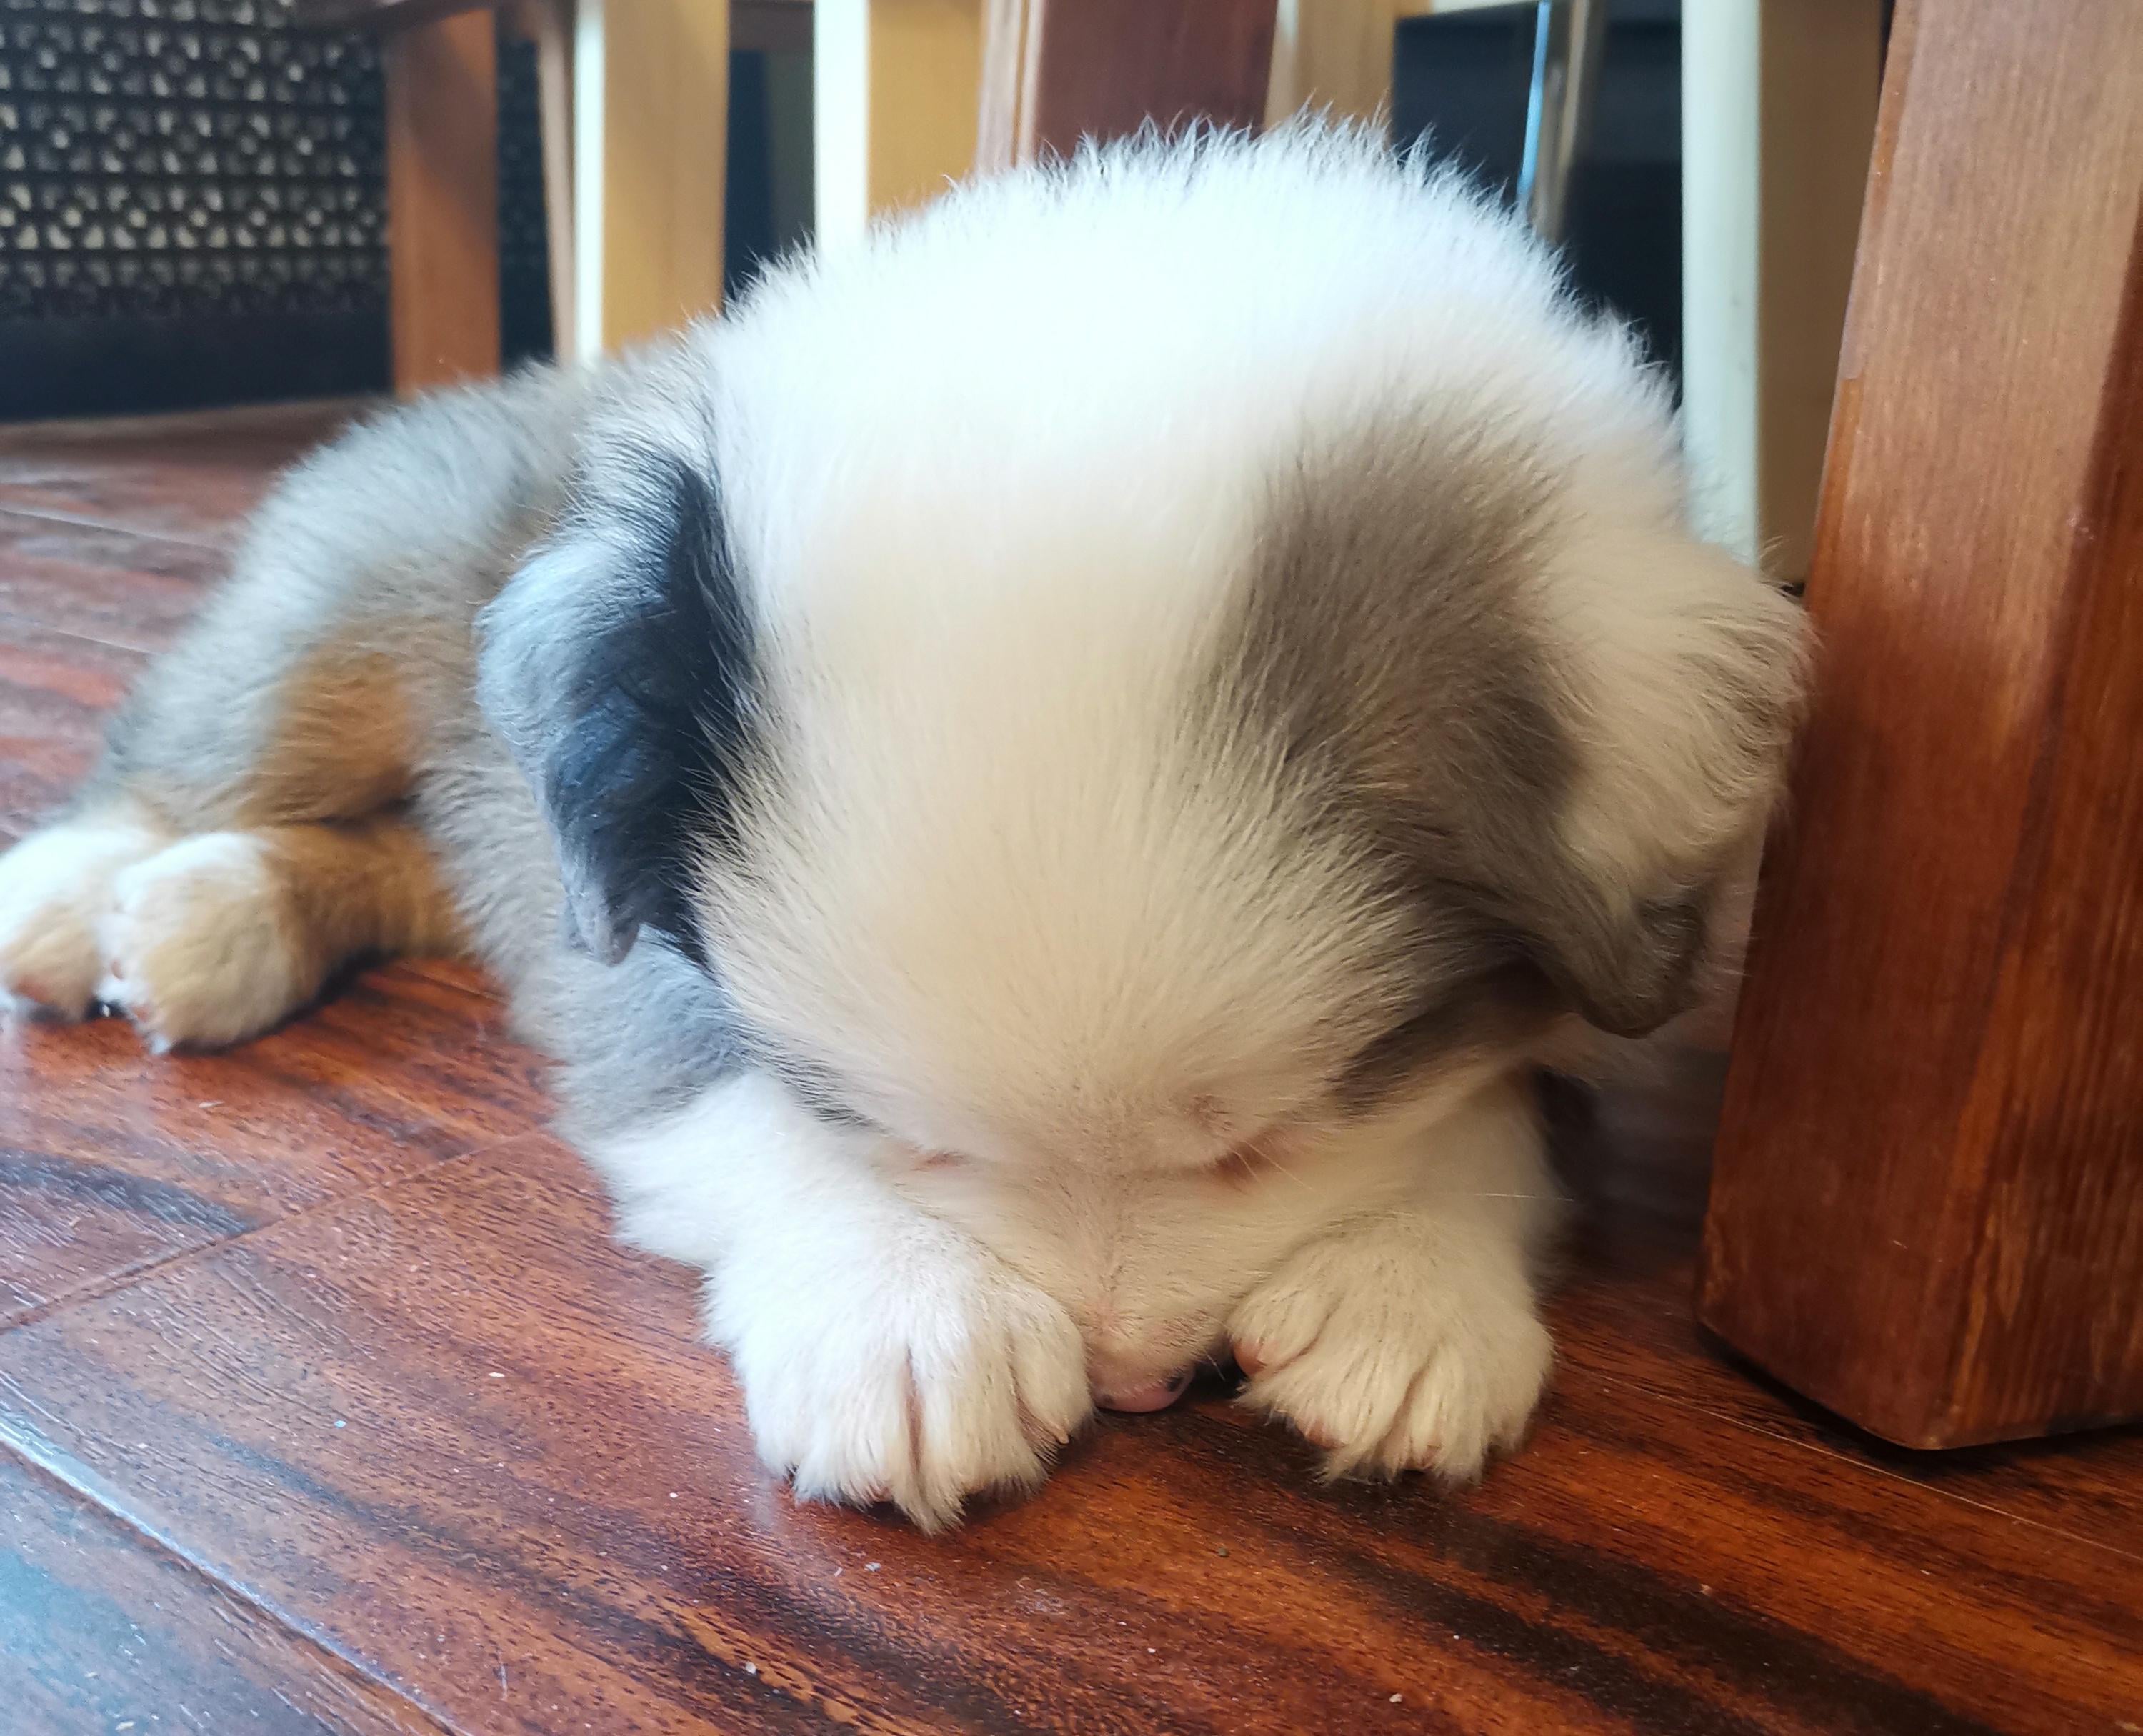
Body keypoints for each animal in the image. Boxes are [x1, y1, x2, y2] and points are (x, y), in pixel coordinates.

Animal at [0, 125, 1808, 1529]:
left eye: (1276, 1137)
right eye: (895, 1133)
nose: (1136, 1382)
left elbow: (1504, 1107)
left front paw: (1407, 1290)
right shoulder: (641, 935)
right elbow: (727, 1095)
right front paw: (907, 1318)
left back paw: (210, 924)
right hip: (356, 608)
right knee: (207, 741)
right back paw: (91, 893)